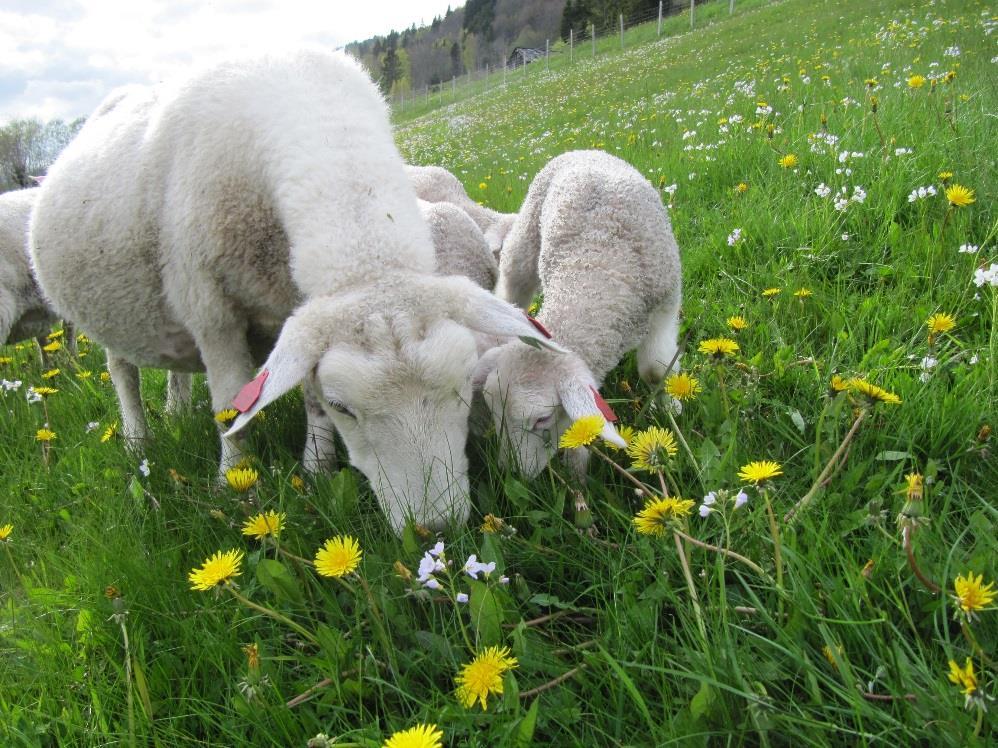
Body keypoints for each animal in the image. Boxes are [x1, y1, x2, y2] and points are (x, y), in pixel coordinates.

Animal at [31, 48, 560, 532]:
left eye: (466, 383)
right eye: (346, 407)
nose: (436, 527)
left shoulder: (300, 308)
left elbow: (307, 398)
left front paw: (317, 469)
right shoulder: (211, 311)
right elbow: (230, 405)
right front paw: (233, 483)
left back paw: (176, 408)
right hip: (108, 310)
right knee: (123, 372)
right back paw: (138, 438)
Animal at [474, 150, 680, 476]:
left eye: (542, 419)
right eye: (494, 411)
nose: (512, 473)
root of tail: (581, 150)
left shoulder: (666, 304)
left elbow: (656, 369)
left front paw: (669, 406)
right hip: (525, 242)